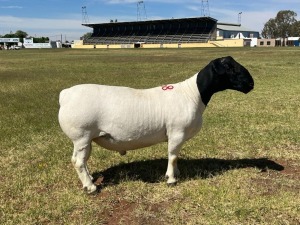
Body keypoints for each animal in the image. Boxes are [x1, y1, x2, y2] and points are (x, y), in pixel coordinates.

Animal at [58, 55, 253, 193]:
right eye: (229, 67)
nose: (251, 84)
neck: (192, 94)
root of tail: (65, 95)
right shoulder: (176, 132)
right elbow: (172, 156)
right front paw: (171, 179)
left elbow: (176, 157)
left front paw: (176, 173)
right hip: (81, 135)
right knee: (78, 162)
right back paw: (91, 188)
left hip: (86, 138)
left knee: (80, 160)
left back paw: (90, 179)